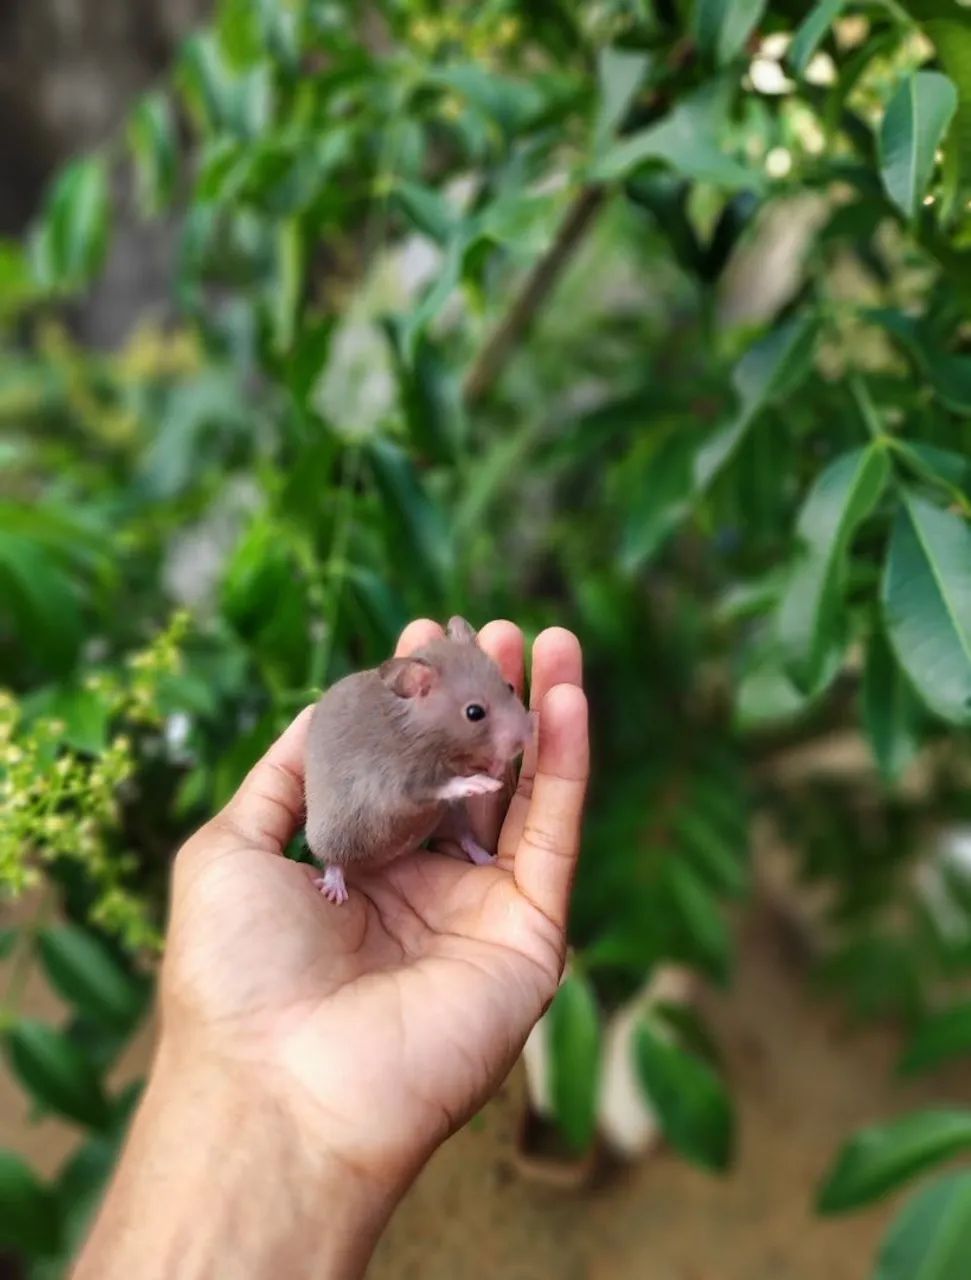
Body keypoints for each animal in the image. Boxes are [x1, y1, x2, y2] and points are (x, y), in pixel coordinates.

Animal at [304, 616, 533, 904]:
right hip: (336, 832)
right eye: (474, 712)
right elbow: (440, 785)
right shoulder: (398, 783)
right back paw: (334, 889)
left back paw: (485, 858)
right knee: (333, 860)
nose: (528, 738)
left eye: (510, 687)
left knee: (464, 837)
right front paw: (481, 784)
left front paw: (496, 768)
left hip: (451, 814)